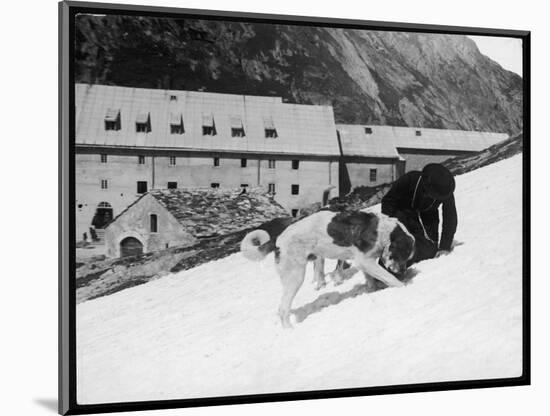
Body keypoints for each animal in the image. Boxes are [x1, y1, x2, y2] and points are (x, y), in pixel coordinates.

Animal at [239, 210, 416, 326]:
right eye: (402, 254)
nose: (402, 272)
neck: (385, 230)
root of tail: (278, 239)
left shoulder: (366, 263)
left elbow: (371, 279)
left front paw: (373, 290)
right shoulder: (365, 260)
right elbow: (389, 277)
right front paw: (403, 286)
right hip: (296, 277)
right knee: (282, 309)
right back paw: (290, 330)